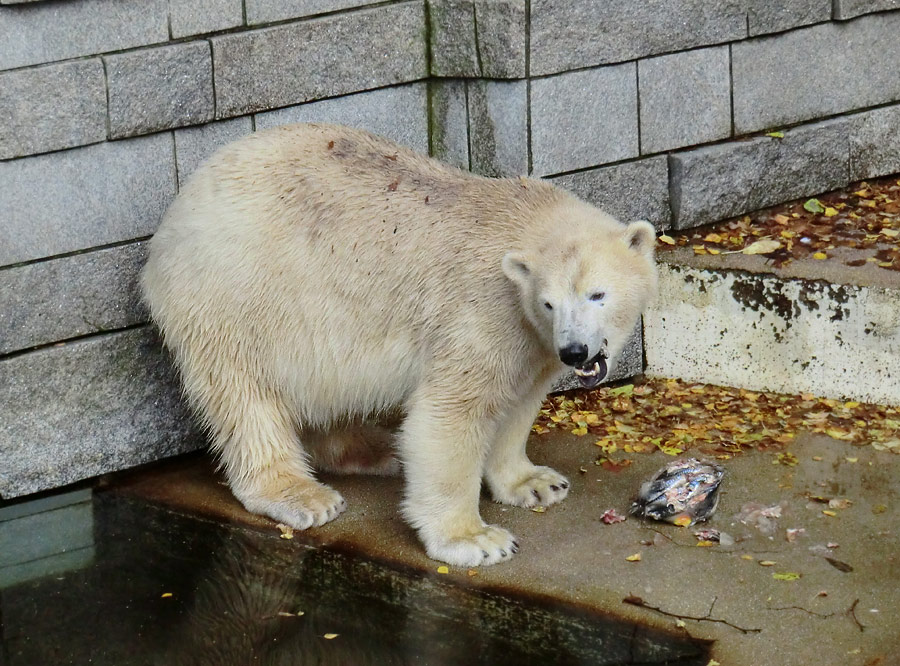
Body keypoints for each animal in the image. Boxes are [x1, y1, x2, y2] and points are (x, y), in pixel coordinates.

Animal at [144, 124, 656, 564]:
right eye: (549, 302)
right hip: (236, 290)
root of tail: (175, 215)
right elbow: (448, 415)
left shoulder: (529, 340)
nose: (575, 352)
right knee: (243, 390)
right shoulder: (482, 312)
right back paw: (301, 494)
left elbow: (519, 400)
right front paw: (475, 539)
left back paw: (374, 450)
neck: (521, 221)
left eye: (597, 294)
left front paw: (534, 482)